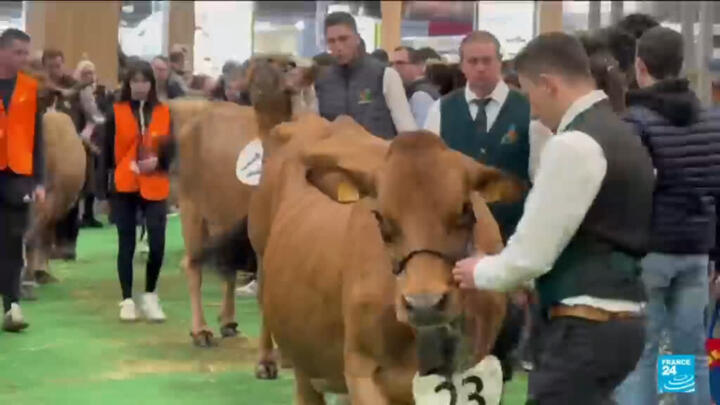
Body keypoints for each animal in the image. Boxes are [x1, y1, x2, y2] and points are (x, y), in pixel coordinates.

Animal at [169, 57, 317, 346]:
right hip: (193, 209)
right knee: (194, 266)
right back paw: (200, 330)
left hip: (223, 216)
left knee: (227, 269)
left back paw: (227, 321)